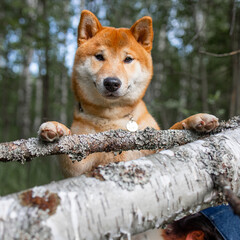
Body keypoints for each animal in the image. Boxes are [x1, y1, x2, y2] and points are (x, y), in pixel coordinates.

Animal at [39, 10, 219, 177]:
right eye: (99, 56)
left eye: (128, 59)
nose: (112, 83)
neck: (113, 118)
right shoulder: (78, 166)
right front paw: (56, 128)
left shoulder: (153, 148)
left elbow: (173, 132)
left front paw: (195, 119)